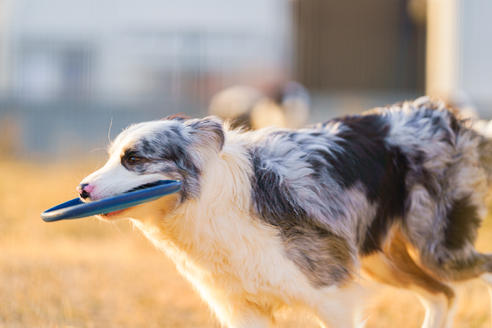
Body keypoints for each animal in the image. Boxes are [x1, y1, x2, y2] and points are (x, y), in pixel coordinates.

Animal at [79, 96, 492, 326]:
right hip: (384, 260)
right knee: (443, 296)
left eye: (133, 159)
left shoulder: (333, 298)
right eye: (112, 157)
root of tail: (448, 116)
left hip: (440, 250)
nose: (82, 190)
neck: (211, 202)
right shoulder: (243, 310)